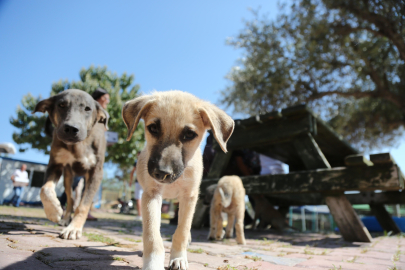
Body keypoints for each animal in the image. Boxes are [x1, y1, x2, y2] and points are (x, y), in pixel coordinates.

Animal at [32, 89, 107, 239]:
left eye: (87, 109)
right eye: (61, 105)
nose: (72, 128)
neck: (78, 145)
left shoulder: (96, 173)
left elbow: (84, 204)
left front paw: (74, 228)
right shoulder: (55, 164)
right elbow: (45, 189)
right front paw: (54, 211)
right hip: (68, 177)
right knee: (70, 199)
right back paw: (65, 218)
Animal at [120, 90, 234, 270]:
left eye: (189, 134)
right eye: (153, 128)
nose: (162, 173)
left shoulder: (189, 196)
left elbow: (182, 230)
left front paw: (179, 257)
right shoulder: (151, 195)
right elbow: (152, 233)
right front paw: (153, 262)